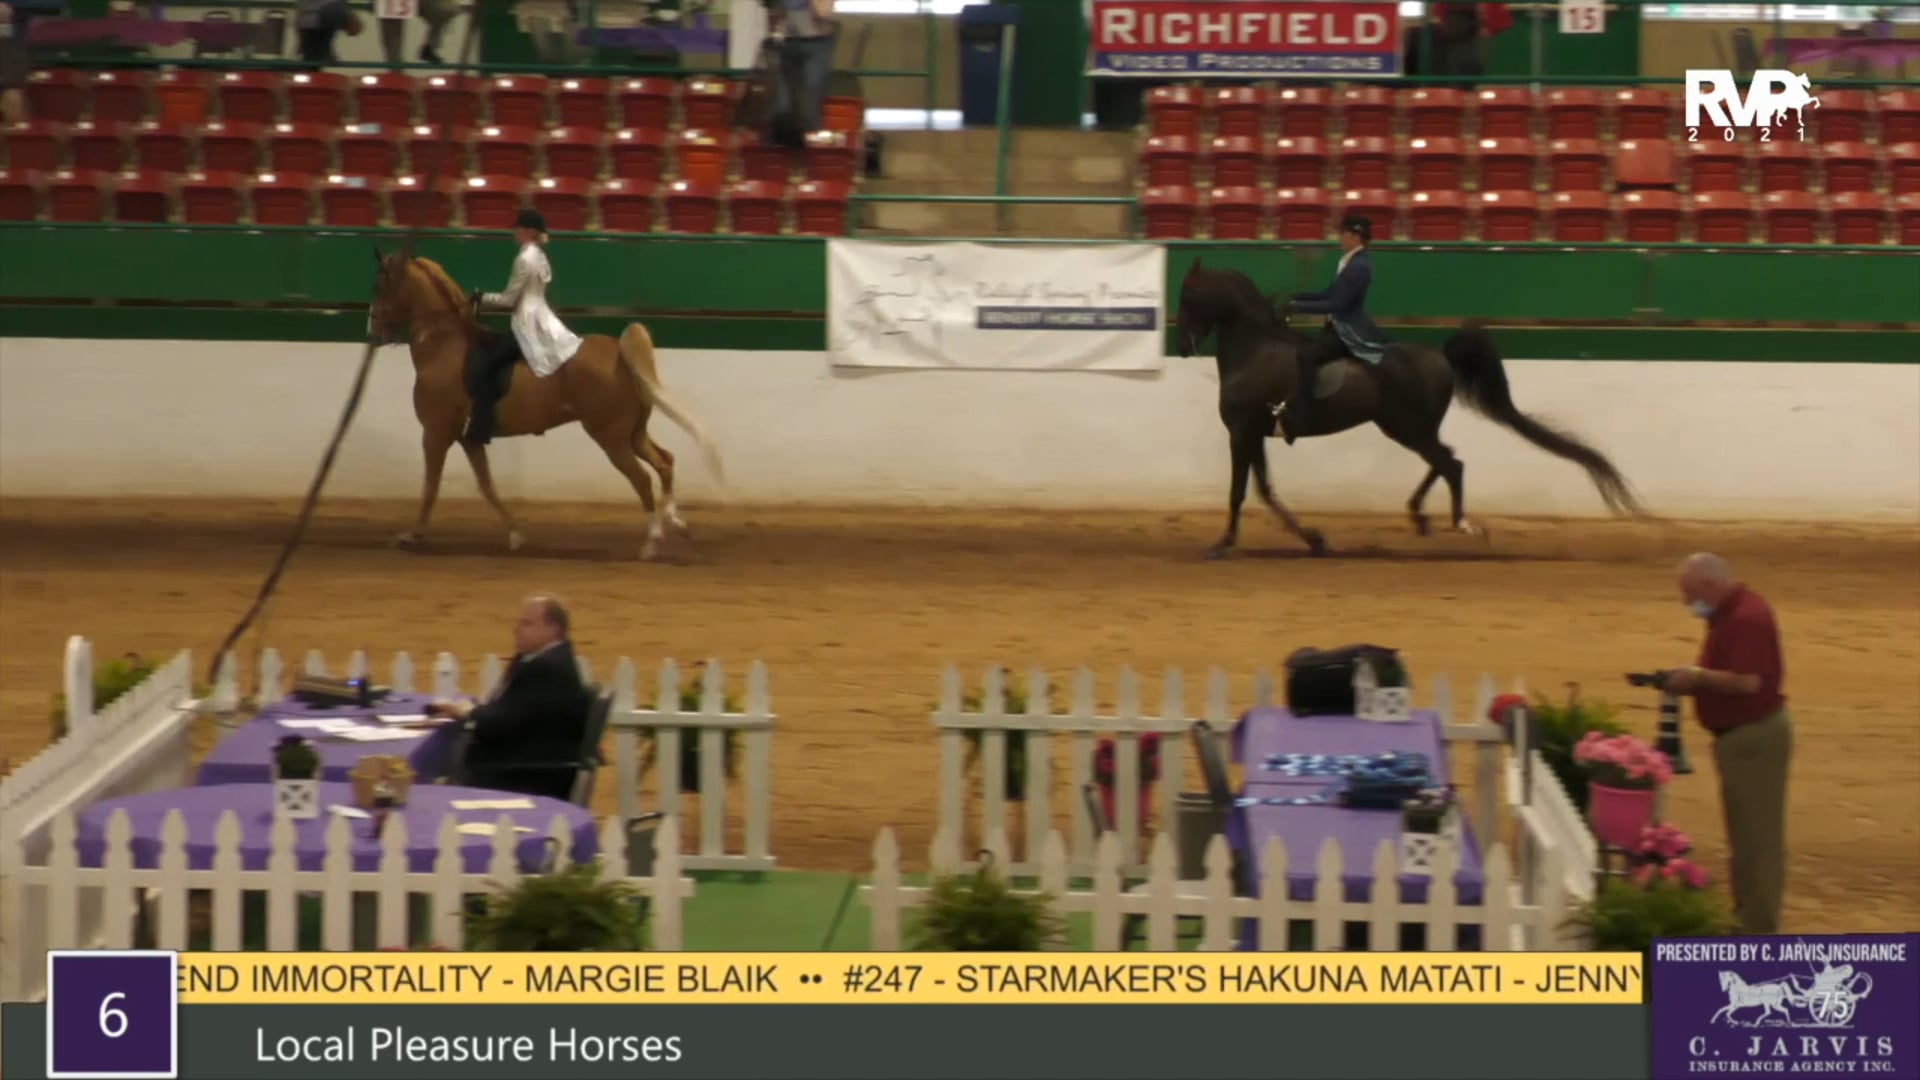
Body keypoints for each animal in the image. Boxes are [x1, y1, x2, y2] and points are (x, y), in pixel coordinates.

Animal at [367, 249, 723, 561]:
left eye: (380, 285)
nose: (372, 332)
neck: (444, 347)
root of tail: (620, 354)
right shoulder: (469, 438)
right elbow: (487, 486)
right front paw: (515, 535)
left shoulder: (435, 433)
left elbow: (430, 485)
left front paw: (412, 535)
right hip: (633, 434)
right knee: (664, 463)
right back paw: (677, 523)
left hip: (610, 438)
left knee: (642, 479)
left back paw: (651, 544)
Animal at [1174, 257, 1647, 558]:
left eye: (1188, 295)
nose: (1181, 346)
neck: (1253, 350)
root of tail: (1441, 356)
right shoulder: (1254, 434)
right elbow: (1265, 490)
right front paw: (1314, 540)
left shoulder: (1241, 432)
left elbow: (1240, 491)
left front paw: (1222, 544)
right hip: (1409, 428)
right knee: (1445, 461)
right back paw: (1421, 517)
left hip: (1407, 428)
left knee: (1450, 464)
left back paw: (1461, 524)